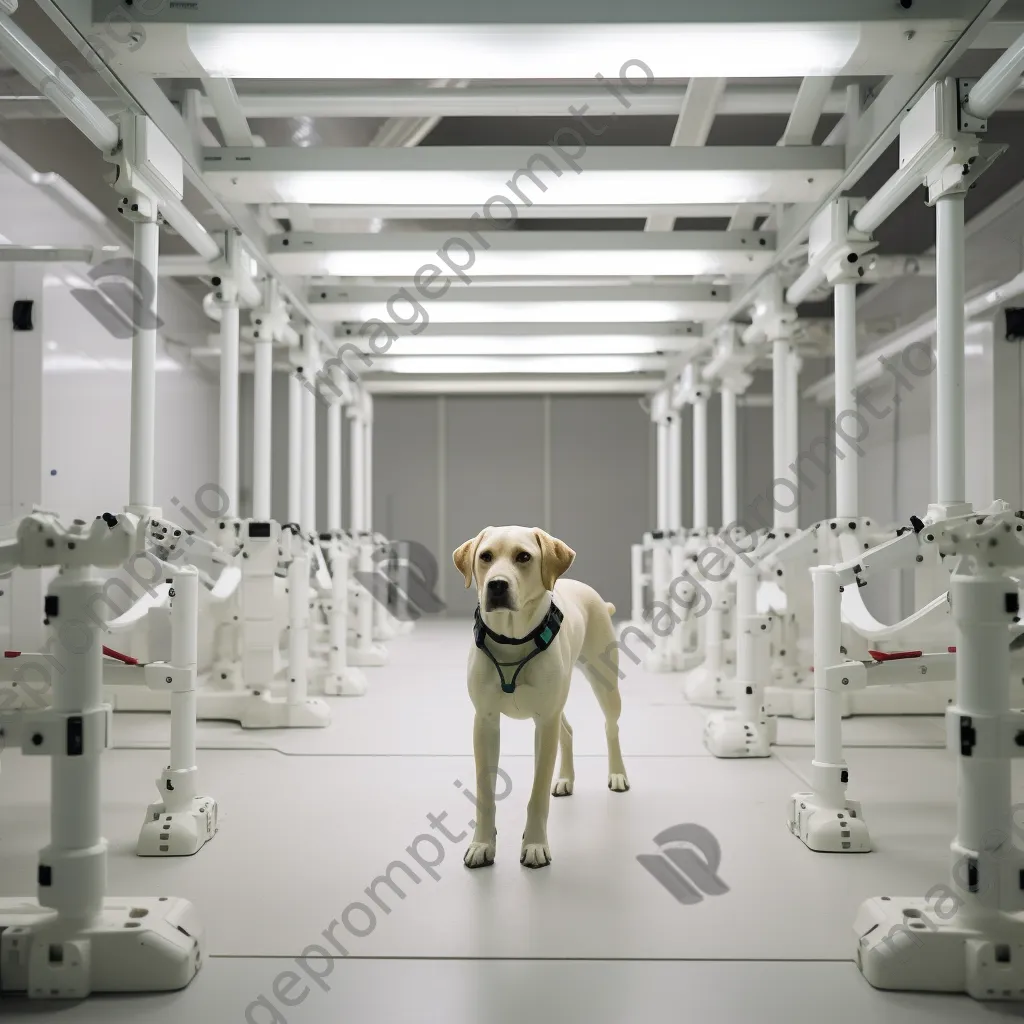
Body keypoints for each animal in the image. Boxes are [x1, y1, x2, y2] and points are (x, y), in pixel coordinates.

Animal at [452, 524, 626, 868]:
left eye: (523, 557)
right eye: (485, 556)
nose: (496, 584)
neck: (512, 638)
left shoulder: (544, 723)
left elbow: (538, 792)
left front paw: (534, 844)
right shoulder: (486, 722)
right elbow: (485, 792)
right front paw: (481, 844)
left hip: (605, 685)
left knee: (610, 726)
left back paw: (617, 774)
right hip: (557, 704)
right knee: (567, 731)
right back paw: (566, 779)